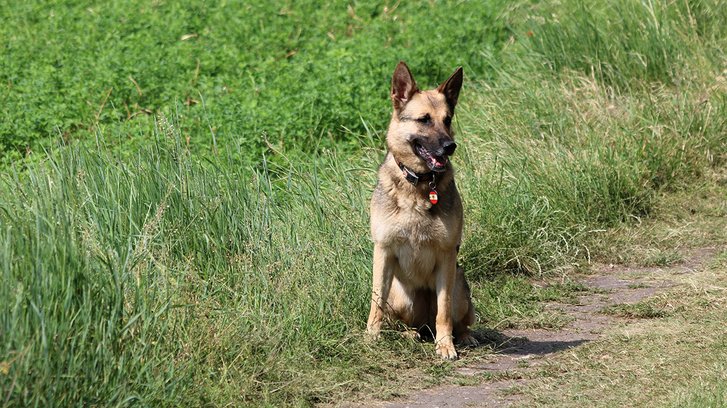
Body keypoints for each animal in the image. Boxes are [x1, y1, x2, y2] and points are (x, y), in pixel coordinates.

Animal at [370, 62, 478, 358]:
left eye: (448, 119)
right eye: (424, 120)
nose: (450, 147)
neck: (419, 184)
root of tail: (424, 327)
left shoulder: (446, 256)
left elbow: (444, 312)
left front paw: (446, 346)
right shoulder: (383, 251)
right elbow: (376, 301)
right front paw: (370, 337)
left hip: (459, 285)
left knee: (453, 319)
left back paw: (460, 337)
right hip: (401, 295)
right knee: (407, 324)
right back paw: (409, 335)